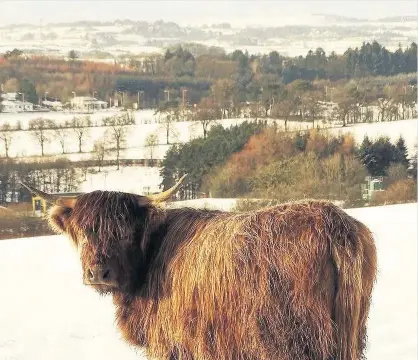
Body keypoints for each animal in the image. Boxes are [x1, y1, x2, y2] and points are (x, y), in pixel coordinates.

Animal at [21, 178, 378, 360]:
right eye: (83, 233)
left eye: (124, 232)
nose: (98, 273)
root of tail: (334, 221)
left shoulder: (172, 343)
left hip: (293, 339)